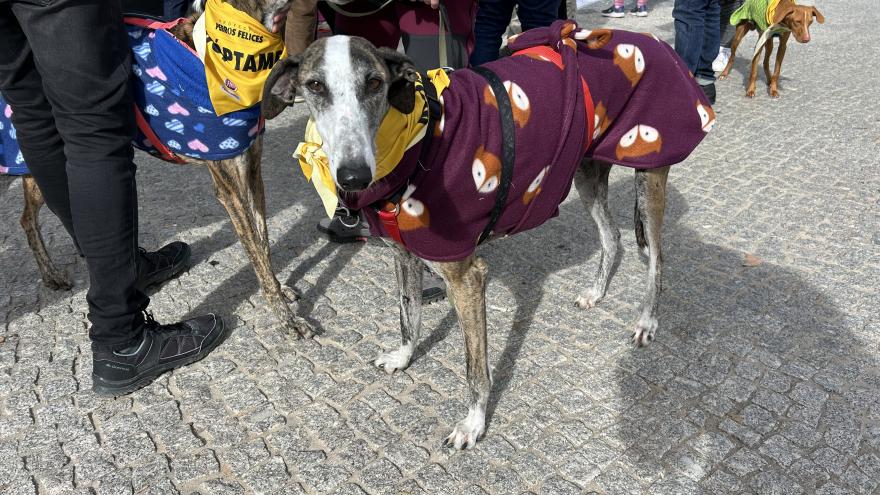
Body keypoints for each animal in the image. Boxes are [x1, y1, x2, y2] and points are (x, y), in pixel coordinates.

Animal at [17, 0, 314, 340]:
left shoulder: (253, 172)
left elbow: (263, 244)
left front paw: (283, 290)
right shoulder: (230, 187)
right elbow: (255, 251)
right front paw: (286, 318)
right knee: (27, 219)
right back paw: (51, 274)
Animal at [262, 23, 716, 450]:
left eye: (374, 83)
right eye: (314, 86)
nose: (353, 176)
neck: (416, 143)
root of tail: (655, 43)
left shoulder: (467, 278)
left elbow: (474, 369)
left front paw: (474, 424)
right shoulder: (404, 255)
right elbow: (409, 314)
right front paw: (404, 357)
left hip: (649, 173)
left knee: (656, 258)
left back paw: (646, 321)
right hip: (586, 171)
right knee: (612, 238)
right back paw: (597, 292)